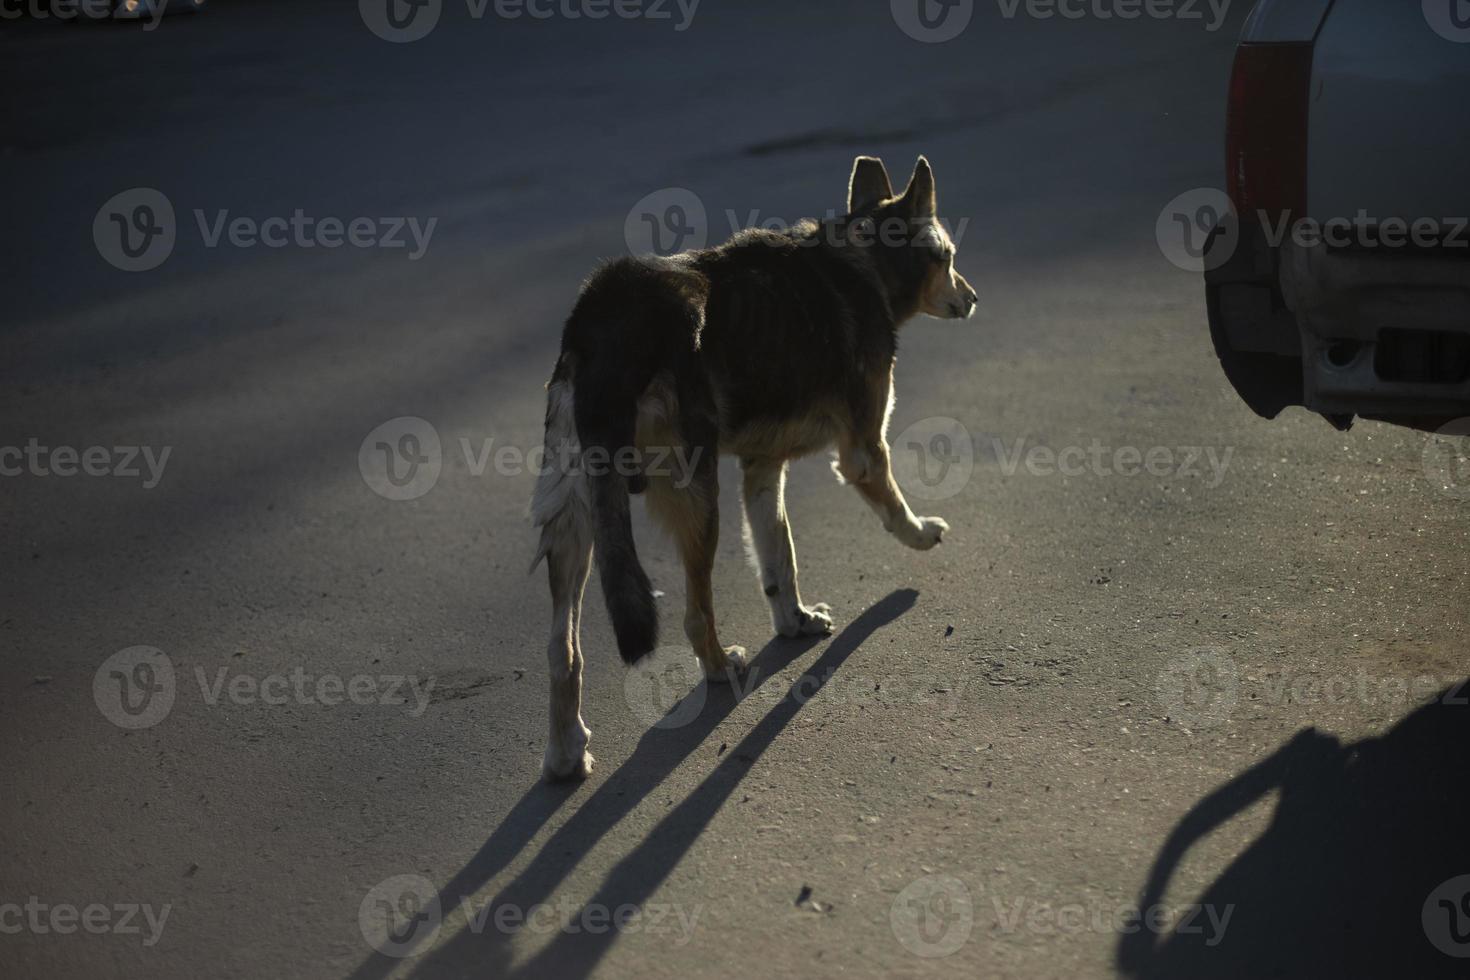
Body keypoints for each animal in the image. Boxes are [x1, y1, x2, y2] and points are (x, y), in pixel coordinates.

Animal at [529, 155, 976, 781]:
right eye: (950, 258)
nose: (974, 297)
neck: (861, 256)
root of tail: (606, 320)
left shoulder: (762, 470)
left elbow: (777, 554)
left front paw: (793, 620)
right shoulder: (863, 451)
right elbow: (891, 507)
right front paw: (919, 533)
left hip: (576, 518)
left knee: (562, 649)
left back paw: (567, 751)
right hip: (697, 497)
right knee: (694, 614)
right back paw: (721, 668)